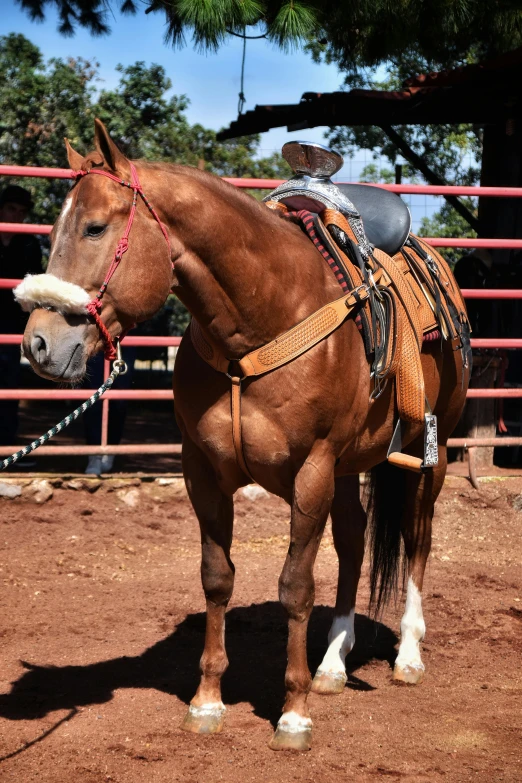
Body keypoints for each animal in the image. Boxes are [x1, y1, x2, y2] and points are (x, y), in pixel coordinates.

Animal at [20, 122, 468, 752]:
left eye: (95, 227)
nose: (37, 344)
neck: (260, 323)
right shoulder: (204, 471)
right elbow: (216, 578)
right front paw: (208, 700)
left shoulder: (312, 471)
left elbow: (296, 586)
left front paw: (294, 714)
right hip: (350, 468)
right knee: (354, 542)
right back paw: (333, 663)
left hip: (432, 455)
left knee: (417, 539)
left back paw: (407, 655)